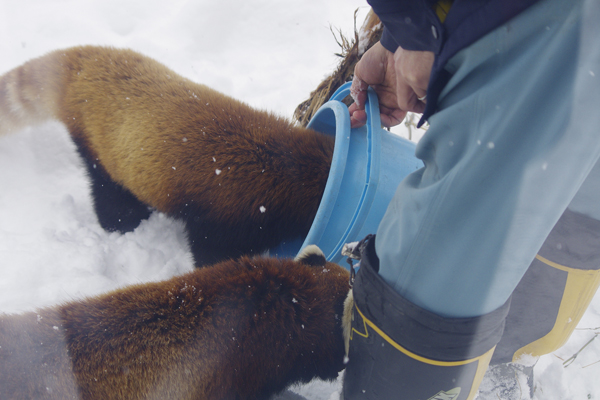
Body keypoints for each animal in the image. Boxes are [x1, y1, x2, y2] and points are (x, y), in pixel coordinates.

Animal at [0, 46, 332, 266]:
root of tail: (89, 57)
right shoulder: (227, 214)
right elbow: (211, 254)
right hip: (99, 145)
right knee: (108, 193)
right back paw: (123, 223)